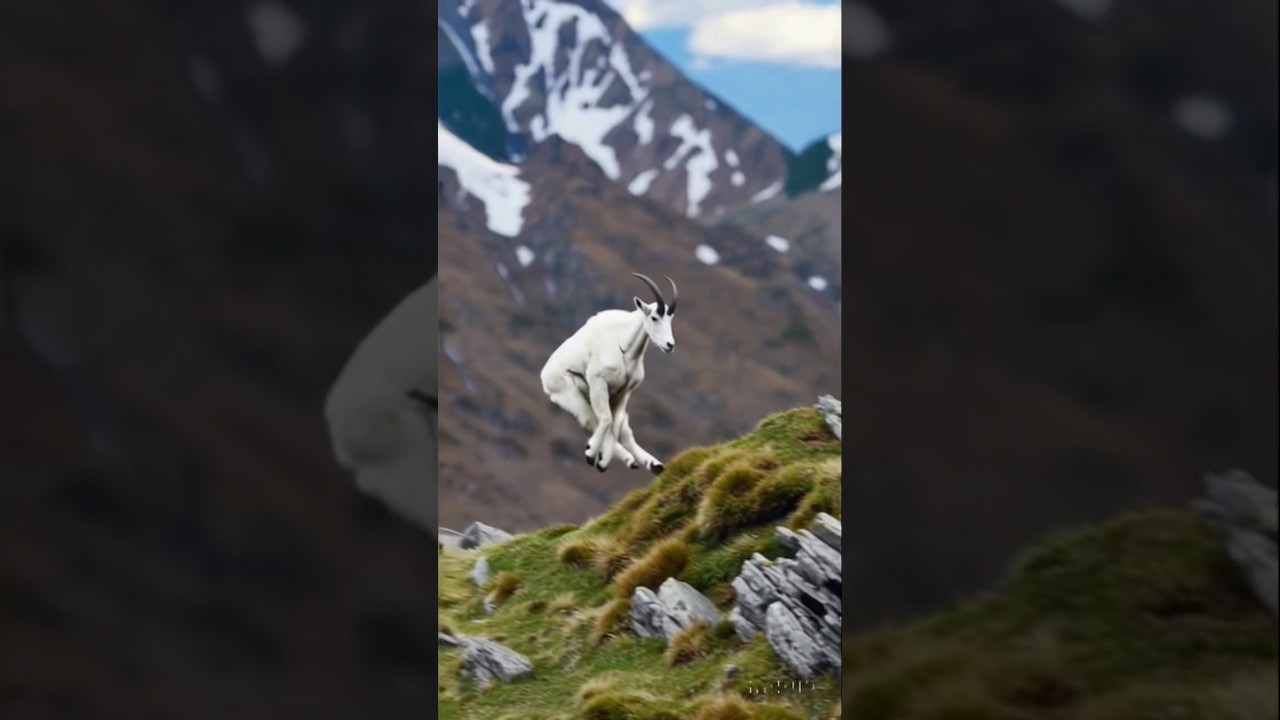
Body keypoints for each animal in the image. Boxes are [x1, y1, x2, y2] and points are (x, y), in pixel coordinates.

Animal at [540, 272, 678, 473]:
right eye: (654, 317)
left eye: (670, 319)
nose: (670, 345)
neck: (624, 346)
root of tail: (545, 375)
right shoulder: (599, 383)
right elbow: (606, 420)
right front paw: (593, 456)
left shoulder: (624, 392)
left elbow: (616, 426)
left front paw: (602, 459)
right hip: (571, 395)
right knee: (592, 420)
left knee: (623, 430)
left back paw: (650, 464)